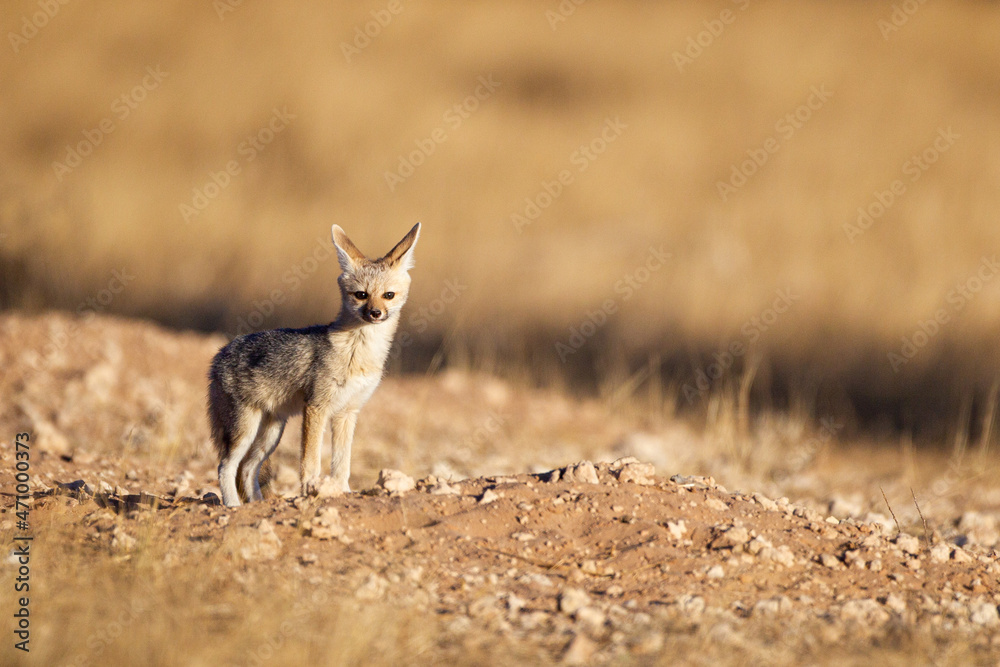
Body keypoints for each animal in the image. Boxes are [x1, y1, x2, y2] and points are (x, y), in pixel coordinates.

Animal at [208, 223, 420, 507]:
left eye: (388, 295)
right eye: (361, 295)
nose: (375, 313)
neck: (358, 352)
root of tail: (219, 355)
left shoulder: (347, 412)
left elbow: (342, 463)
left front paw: (343, 491)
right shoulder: (316, 407)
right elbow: (310, 460)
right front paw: (311, 489)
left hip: (271, 434)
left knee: (248, 469)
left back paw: (257, 504)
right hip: (246, 430)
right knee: (226, 466)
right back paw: (233, 505)